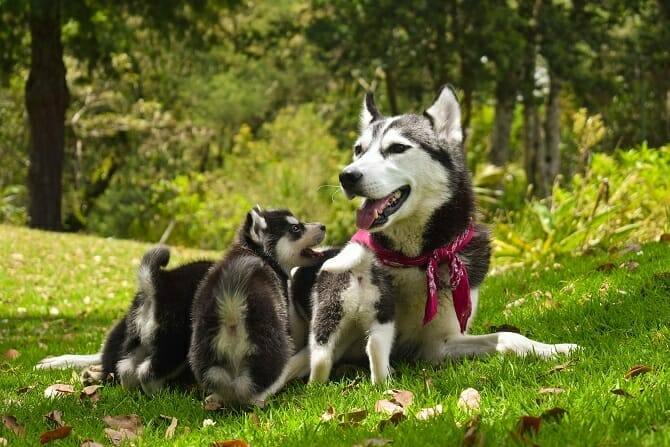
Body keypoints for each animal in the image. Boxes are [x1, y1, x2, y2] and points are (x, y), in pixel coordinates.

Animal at [189, 206, 326, 406]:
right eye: (295, 228)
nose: (323, 226)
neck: (256, 251)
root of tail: (232, 307)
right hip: (273, 346)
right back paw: (261, 399)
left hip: (206, 354)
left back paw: (216, 398)